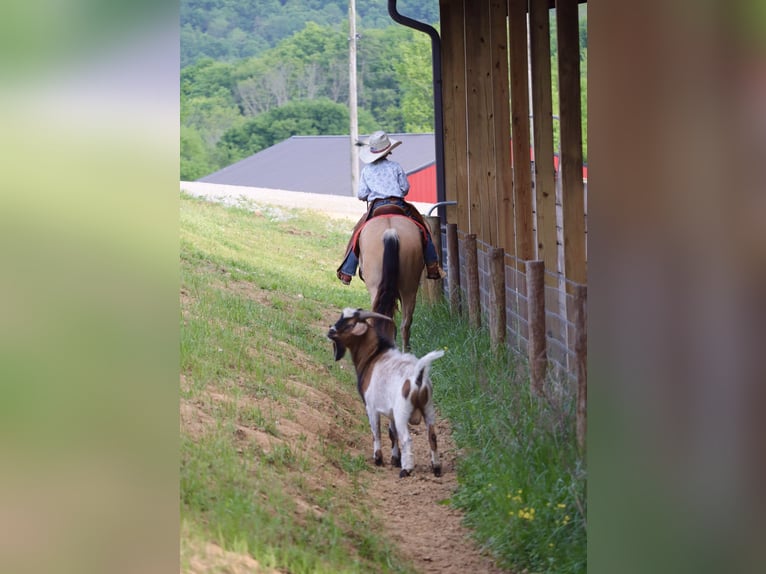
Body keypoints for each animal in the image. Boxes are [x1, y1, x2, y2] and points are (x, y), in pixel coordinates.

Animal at [328, 308, 448, 480]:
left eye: (349, 324)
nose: (330, 331)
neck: (373, 356)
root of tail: (417, 378)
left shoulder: (371, 406)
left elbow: (376, 432)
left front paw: (378, 459)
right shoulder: (390, 411)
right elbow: (392, 433)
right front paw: (395, 459)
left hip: (402, 412)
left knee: (407, 438)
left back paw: (406, 470)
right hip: (428, 408)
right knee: (432, 436)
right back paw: (436, 468)